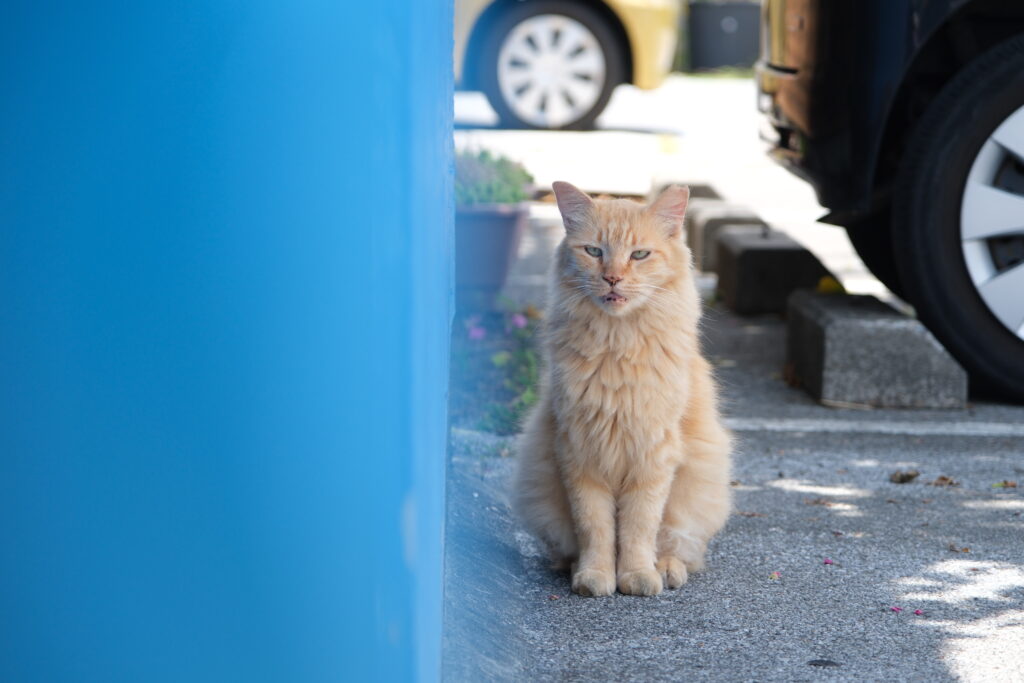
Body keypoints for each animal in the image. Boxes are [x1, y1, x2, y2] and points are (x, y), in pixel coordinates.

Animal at [516, 181, 733, 598]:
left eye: (640, 254)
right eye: (594, 252)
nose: (613, 278)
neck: (616, 346)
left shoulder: (653, 457)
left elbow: (637, 528)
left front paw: (637, 577)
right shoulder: (578, 453)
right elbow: (596, 528)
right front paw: (595, 577)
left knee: (678, 547)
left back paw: (666, 570)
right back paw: (574, 568)